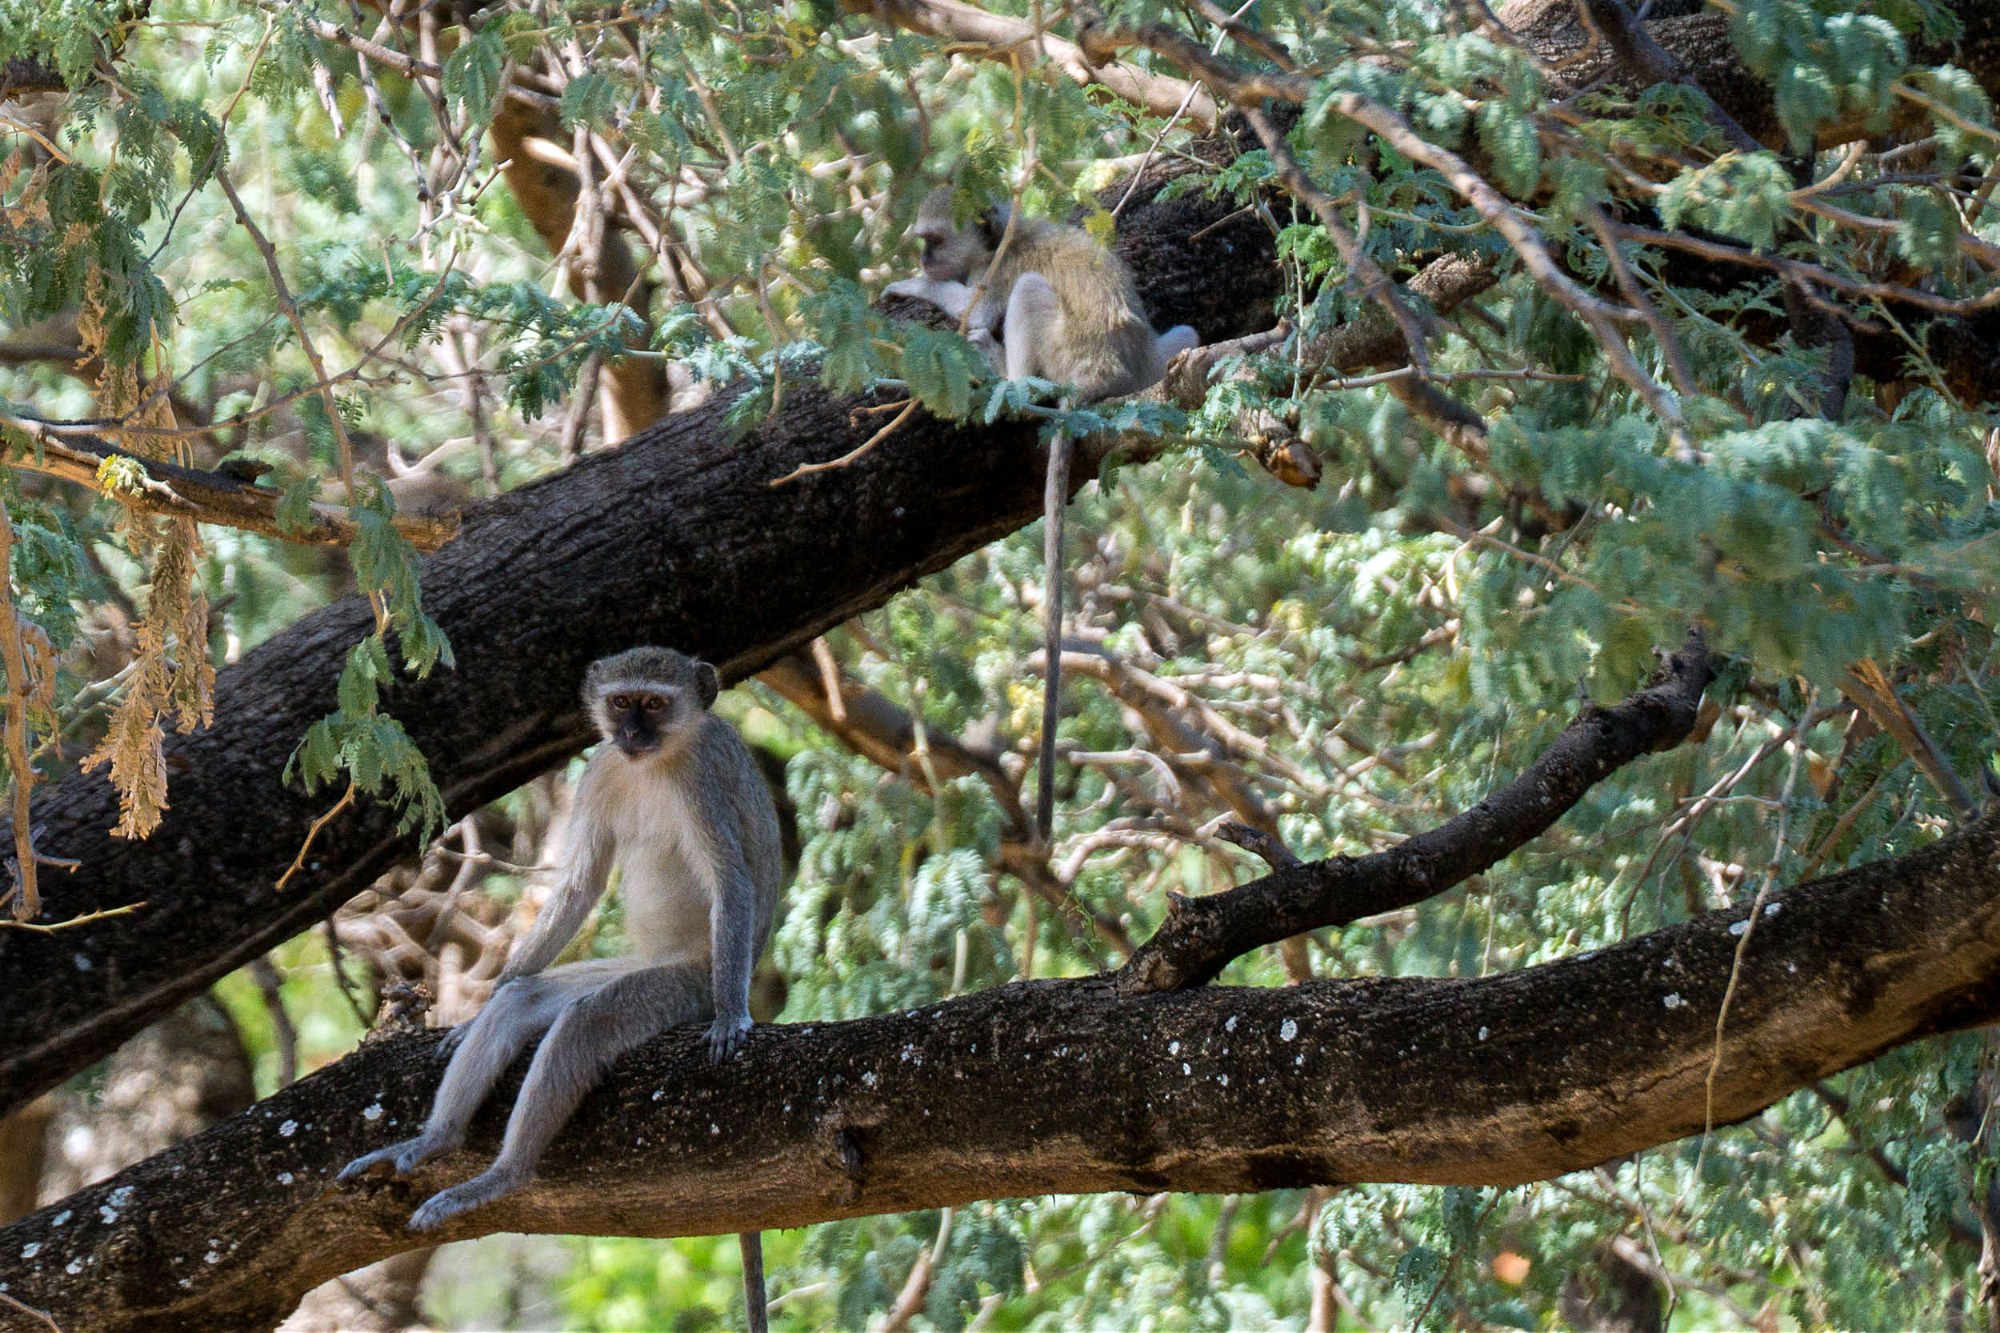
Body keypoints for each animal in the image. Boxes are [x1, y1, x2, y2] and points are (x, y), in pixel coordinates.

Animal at [337, 646, 784, 1333]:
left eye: (654, 704)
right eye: (622, 703)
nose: (631, 734)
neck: (657, 761)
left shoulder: (702, 782)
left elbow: (730, 881)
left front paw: (733, 1017)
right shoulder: (600, 771)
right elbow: (578, 884)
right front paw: (478, 1015)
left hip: (679, 986)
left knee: (585, 1023)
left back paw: (505, 1175)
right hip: (632, 967)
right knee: (524, 1002)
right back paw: (438, 1138)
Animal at [886, 187, 1199, 841]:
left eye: (932, 242)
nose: (923, 262)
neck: (1006, 231)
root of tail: (1101, 380)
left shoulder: (995, 273)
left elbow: (976, 306)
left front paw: (910, 286)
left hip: (1059, 350)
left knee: (1027, 299)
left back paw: (1007, 375)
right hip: (1152, 369)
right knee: (1183, 338)